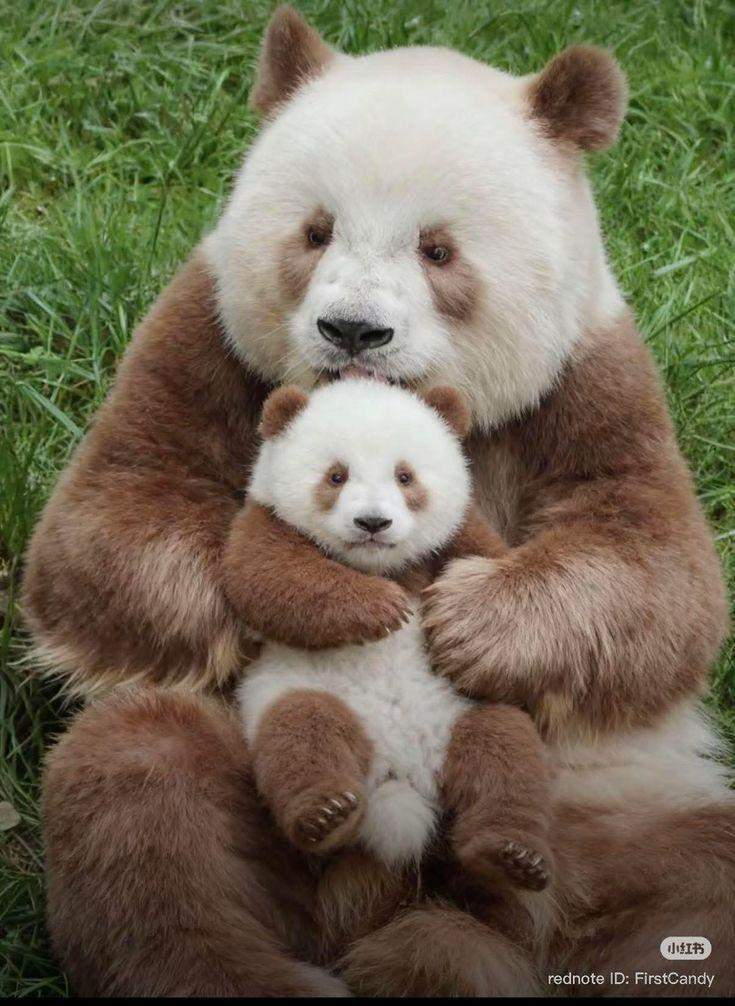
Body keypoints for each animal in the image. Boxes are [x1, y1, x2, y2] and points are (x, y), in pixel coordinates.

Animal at [237, 375, 551, 889]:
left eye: (405, 477)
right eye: (336, 476)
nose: (372, 522)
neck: (379, 565)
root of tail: (401, 774)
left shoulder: (459, 532)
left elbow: (491, 566)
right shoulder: (265, 520)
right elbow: (267, 575)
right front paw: (384, 608)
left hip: (461, 709)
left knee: (505, 753)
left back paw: (511, 856)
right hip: (296, 690)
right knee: (301, 732)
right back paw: (326, 815)